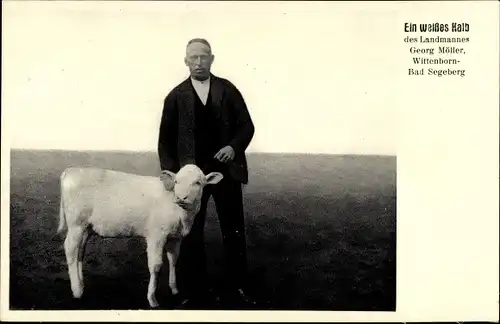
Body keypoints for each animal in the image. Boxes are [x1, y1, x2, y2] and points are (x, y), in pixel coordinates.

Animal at [55, 163, 224, 308]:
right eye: (176, 181)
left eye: (198, 183)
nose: (181, 197)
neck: (181, 215)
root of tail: (71, 170)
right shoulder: (156, 235)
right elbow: (155, 266)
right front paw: (152, 299)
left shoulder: (176, 237)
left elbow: (173, 260)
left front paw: (174, 289)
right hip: (76, 223)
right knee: (70, 249)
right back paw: (77, 291)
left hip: (86, 227)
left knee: (80, 252)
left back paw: (81, 284)